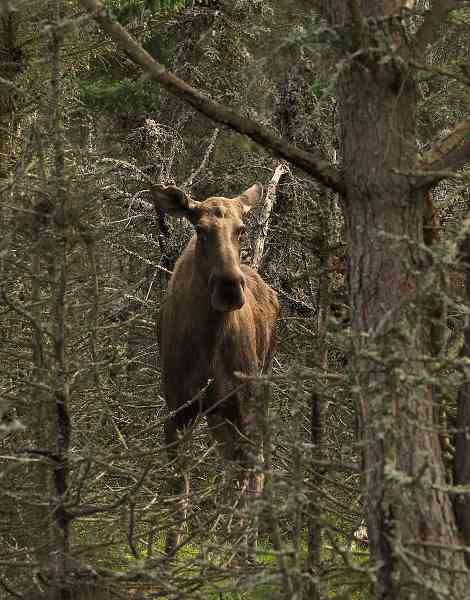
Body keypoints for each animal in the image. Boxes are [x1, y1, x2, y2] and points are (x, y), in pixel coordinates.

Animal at [152, 183, 280, 556]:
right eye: (200, 229)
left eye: (241, 229)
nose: (229, 286)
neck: (208, 344)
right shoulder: (178, 411)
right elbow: (179, 488)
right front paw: (171, 552)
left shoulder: (245, 407)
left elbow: (249, 478)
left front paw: (242, 552)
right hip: (218, 414)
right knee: (228, 466)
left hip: (255, 393)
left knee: (252, 469)